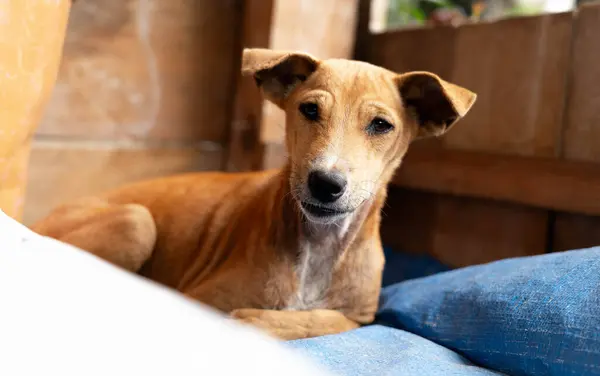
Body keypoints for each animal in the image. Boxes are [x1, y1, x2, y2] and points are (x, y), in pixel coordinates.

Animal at [31, 47, 474, 340]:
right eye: (310, 110)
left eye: (381, 125)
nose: (325, 184)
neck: (318, 246)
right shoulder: (199, 295)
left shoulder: (361, 315)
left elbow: (323, 320)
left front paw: (257, 319)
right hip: (136, 223)